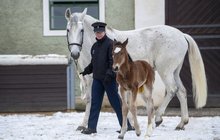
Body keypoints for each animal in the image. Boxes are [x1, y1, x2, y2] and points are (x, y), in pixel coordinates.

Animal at [64, 8, 207, 132]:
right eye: (68, 30)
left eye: (82, 30)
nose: (75, 53)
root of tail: (181, 35)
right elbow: (94, 99)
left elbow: (108, 100)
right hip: (175, 72)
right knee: (182, 91)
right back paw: (182, 123)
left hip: (165, 71)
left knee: (172, 90)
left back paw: (158, 118)